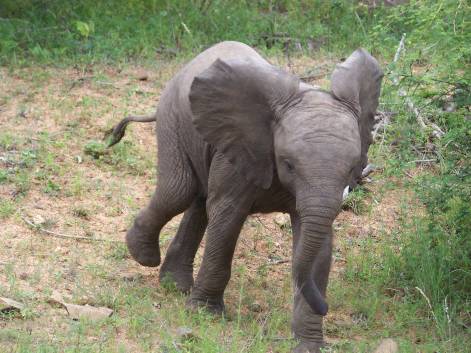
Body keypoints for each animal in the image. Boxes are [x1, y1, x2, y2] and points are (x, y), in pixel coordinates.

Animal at [108, 40, 384, 350]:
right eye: (288, 163)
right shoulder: (242, 152)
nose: (325, 307)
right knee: (179, 190)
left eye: (351, 167)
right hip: (173, 119)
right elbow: (227, 218)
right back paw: (143, 255)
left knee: (199, 201)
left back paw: (174, 286)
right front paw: (206, 314)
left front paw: (310, 345)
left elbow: (317, 241)